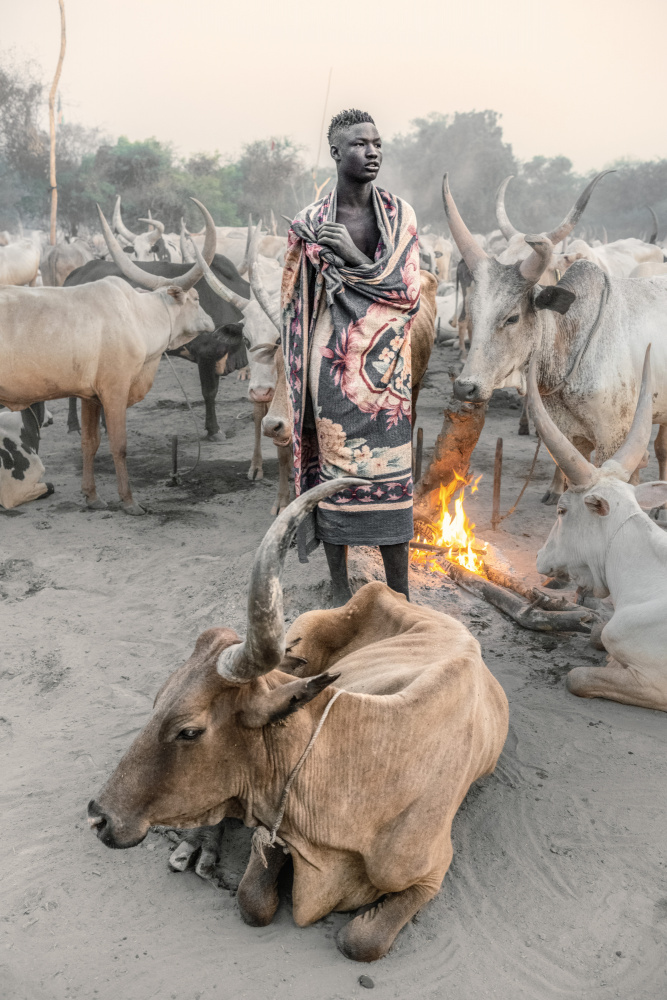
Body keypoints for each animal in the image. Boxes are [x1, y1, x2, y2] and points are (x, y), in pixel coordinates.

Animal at [87, 480, 506, 964]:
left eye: (189, 731)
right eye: (156, 703)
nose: (98, 817)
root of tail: (388, 592)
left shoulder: (431, 872)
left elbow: (362, 941)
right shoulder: (272, 831)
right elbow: (253, 901)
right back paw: (197, 846)